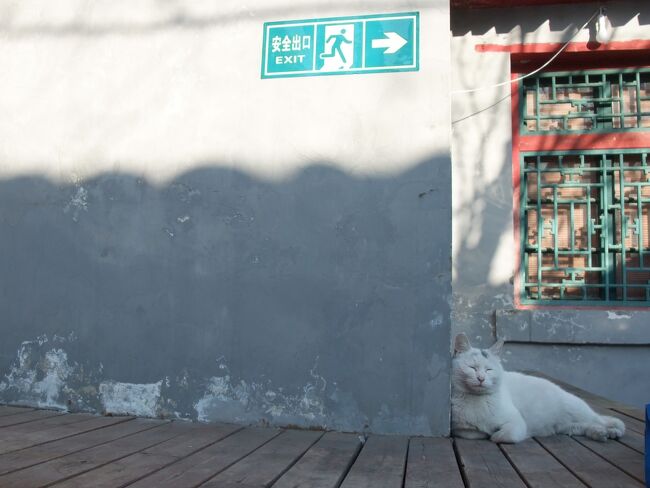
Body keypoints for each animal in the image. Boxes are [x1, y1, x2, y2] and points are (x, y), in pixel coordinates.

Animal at [450, 334, 624, 444]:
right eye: (472, 368)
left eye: (489, 370)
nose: (481, 378)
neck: (476, 401)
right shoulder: (460, 429)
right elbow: (476, 433)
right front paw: (487, 432)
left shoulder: (517, 422)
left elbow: (504, 436)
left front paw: (495, 434)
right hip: (569, 426)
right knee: (585, 426)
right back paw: (600, 433)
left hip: (577, 410)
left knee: (601, 420)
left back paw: (612, 432)